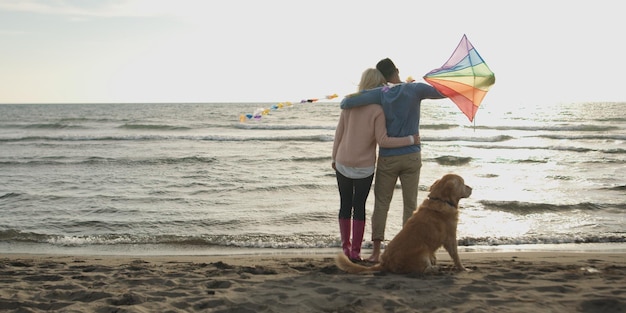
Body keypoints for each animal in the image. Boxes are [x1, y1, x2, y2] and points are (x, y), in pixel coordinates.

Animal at [336, 173, 468, 272]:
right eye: (463, 183)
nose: (471, 188)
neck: (441, 200)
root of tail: (385, 263)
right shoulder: (450, 236)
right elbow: (455, 255)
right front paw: (463, 268)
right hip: (423, 252)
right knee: (422, 269)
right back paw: (434, 268)